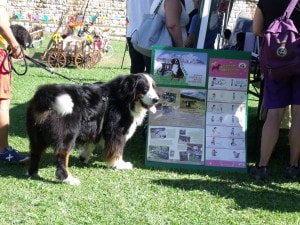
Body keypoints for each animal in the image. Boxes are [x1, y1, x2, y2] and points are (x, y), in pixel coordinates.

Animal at [26, 73, 159, 185]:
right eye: (145, 89)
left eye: (154, 87)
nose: (156, 99)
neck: (124, 98)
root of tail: (45, 95)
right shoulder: (116, 132)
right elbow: (117, 150)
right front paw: (119, 164)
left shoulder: (96, 127)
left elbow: (91, 143)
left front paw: (83, 157)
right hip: (67, 135)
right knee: (61, 156)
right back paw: (68, 179)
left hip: (36, 137)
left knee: (35, 153)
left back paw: (33, 172)